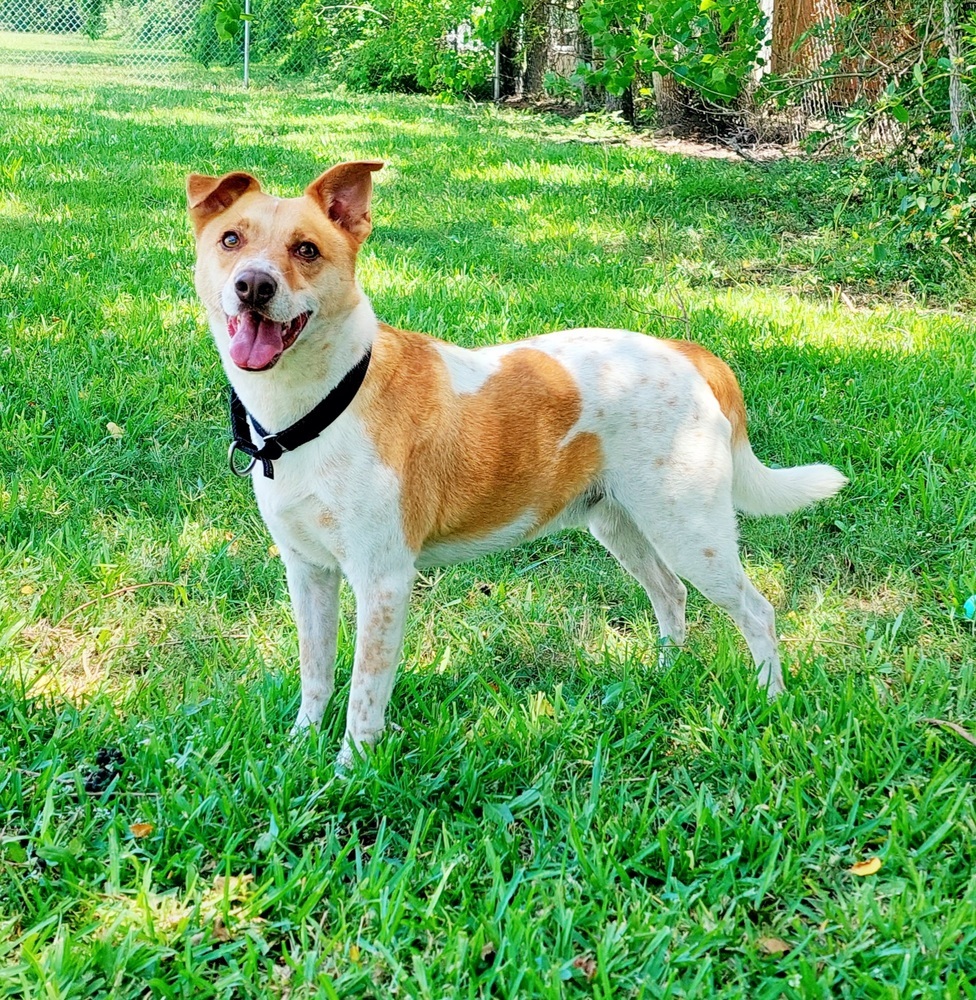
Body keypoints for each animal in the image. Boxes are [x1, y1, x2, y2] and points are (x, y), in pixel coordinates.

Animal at [185, 160, 848, 764]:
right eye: (231, 239)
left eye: (307, 249)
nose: (253, 285)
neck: (320, 406)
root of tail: (686, 351)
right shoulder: (308, 572)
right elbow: (317, 673)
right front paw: (300, 747)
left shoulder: (383, 579)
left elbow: (364, 696)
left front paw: (349, 772)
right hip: (620, 523)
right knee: (671, 595)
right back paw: (663, 675)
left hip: (691, 531)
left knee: (756, 611)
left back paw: (771, 701)